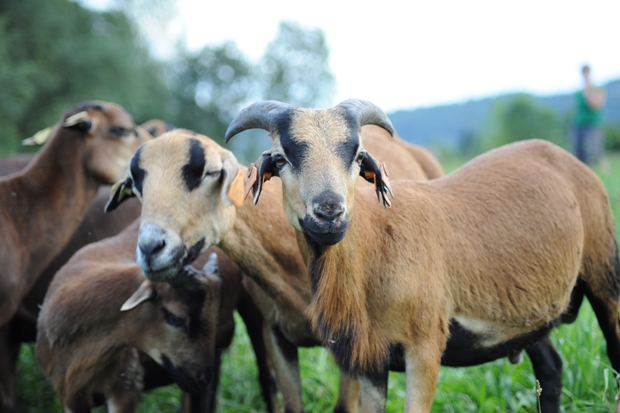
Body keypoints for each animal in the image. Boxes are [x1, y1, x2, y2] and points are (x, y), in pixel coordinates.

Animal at [104, 126, 438, 412]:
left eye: (209, 173)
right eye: (136, 184)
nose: (151, 249)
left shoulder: (356, 344)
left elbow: (344, 407)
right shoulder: (274, 332)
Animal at [223, 100, 620, 412]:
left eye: (357, 154)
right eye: (280, 158)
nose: (329, 212)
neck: (374, 249)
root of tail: (559, 154)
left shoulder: (425, 349)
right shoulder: (370, 361)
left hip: (604, 275)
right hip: (529, 318)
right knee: (550, 370)